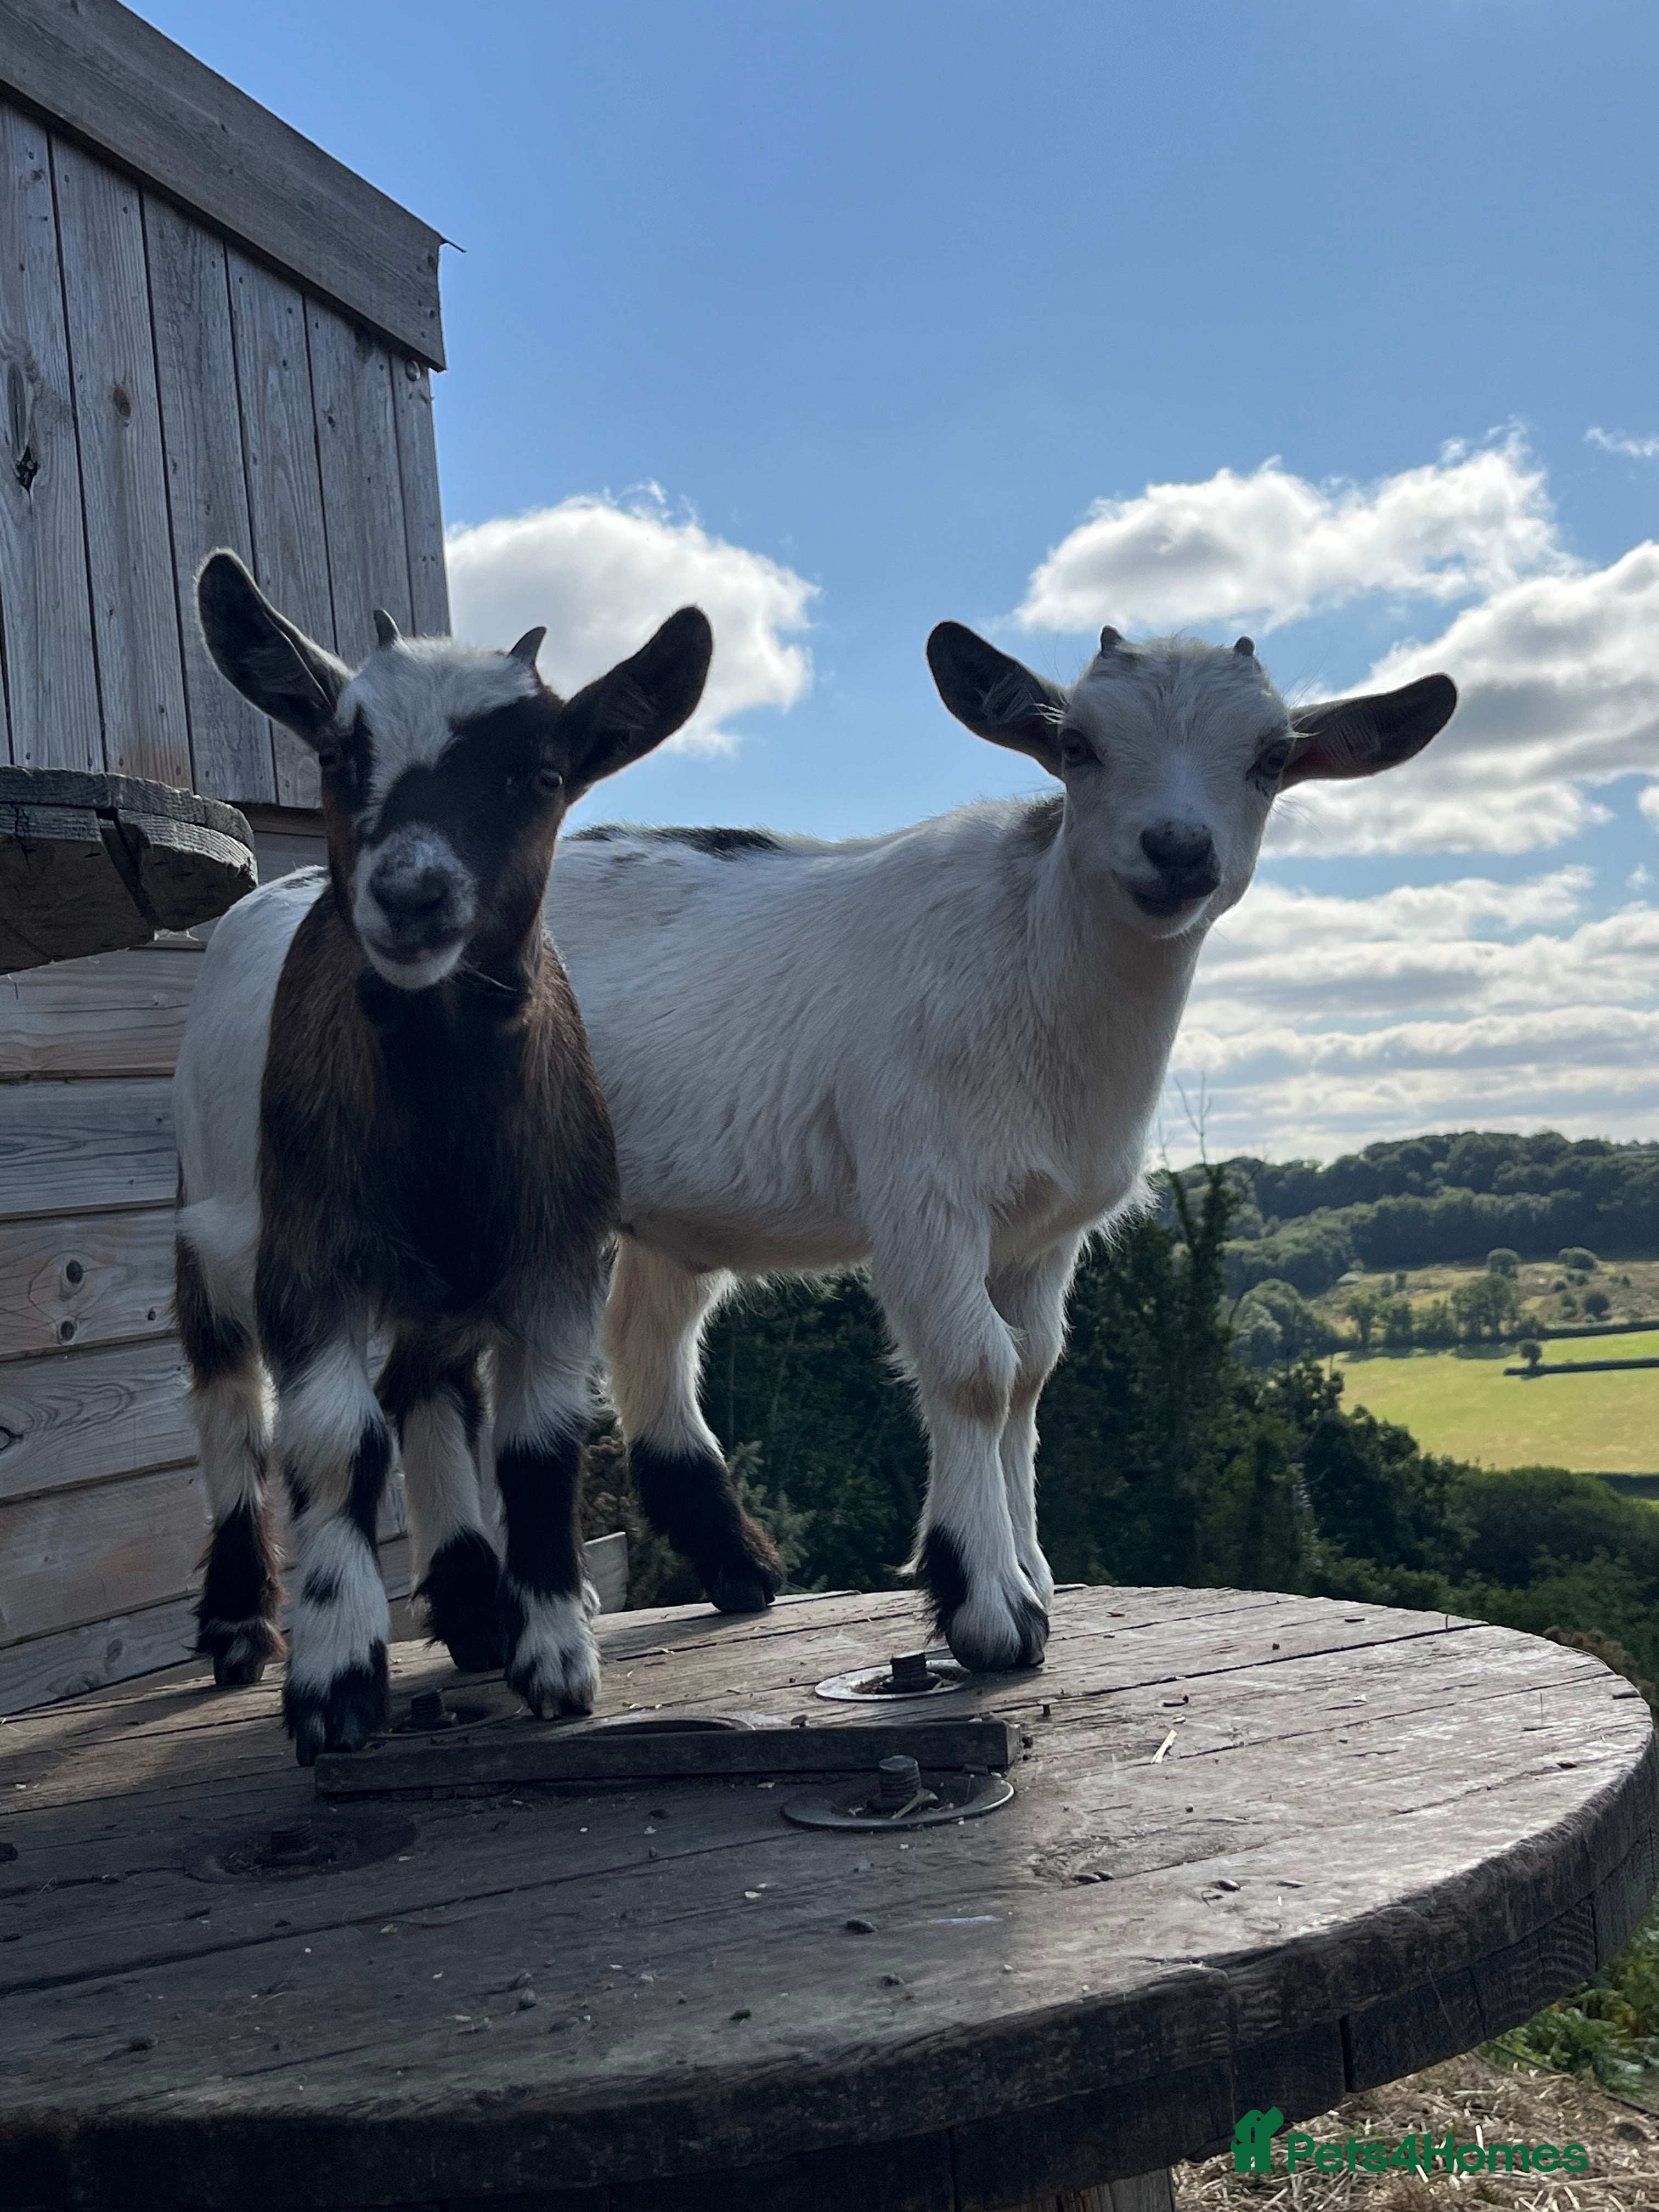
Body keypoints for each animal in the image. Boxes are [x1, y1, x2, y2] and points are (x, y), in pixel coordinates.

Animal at [172, 551, 712, 1762]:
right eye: (339, 752)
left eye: (542, 773)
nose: (411, 894)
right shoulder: (310, 1249)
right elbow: (334, 1442)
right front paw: (334, 1683)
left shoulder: (557, 1258)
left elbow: (537, 1451)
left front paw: (555, 1654)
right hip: (206, 1220)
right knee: (229, 1397)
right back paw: (239, 1624)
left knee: (428, 1382)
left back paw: (473, 1602)